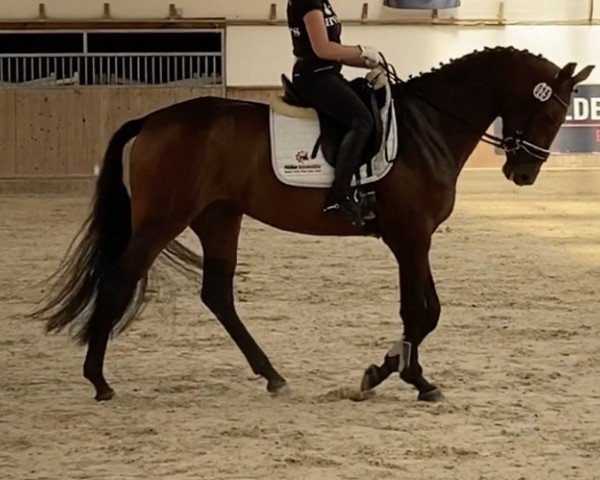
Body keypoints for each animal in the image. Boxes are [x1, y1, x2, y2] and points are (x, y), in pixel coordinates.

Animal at [35, 48, 592, 402]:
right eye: (550, 113)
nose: (523, 174)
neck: (426, 127)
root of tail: (150, 121)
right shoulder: (411, 237)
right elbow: (421, 311)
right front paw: (405, 378)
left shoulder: (413, 239)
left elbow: (423, 313)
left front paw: (390, 370)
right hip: (162, 220)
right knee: (118, 280)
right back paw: (99, 381)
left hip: (219, 217)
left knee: (217, 293)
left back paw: (272, 376)